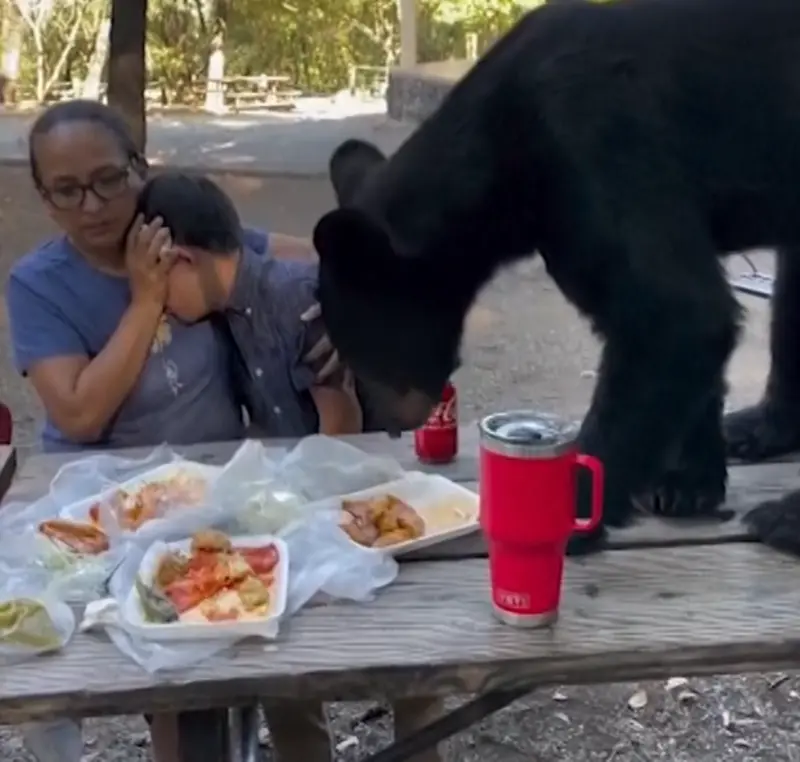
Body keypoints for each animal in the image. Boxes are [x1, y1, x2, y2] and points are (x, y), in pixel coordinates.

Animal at [314, 0, 800, 552]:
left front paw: (568, 515)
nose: (394, 426)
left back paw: (784, 516)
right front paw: (687, 481)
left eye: (365, 354)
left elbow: (675, 314)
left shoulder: (596, 145)